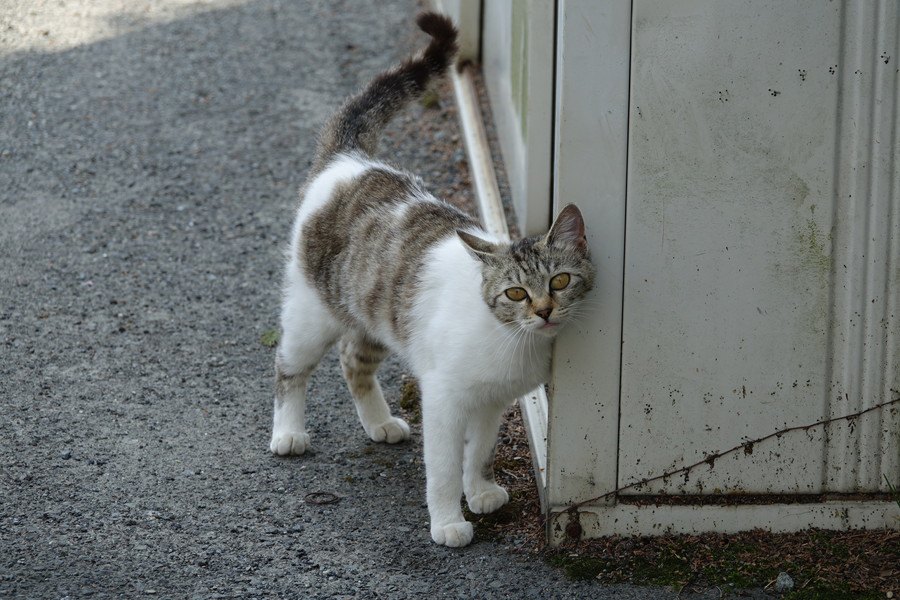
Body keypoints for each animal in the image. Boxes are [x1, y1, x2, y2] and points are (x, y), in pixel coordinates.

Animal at [272, 11, 596, 548]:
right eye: (515, 292)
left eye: (560, 282)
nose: (545, 312)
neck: (512, 339)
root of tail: (349, 160)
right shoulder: (444, 397)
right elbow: (442, 467)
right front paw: (447, 520)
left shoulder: (492, 401)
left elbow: (479, 451)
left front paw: (480, 490)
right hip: (310, 312)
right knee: (289, 368)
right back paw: (288, 433)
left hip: (376, 318)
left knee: (352, 361)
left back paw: (380, 423)